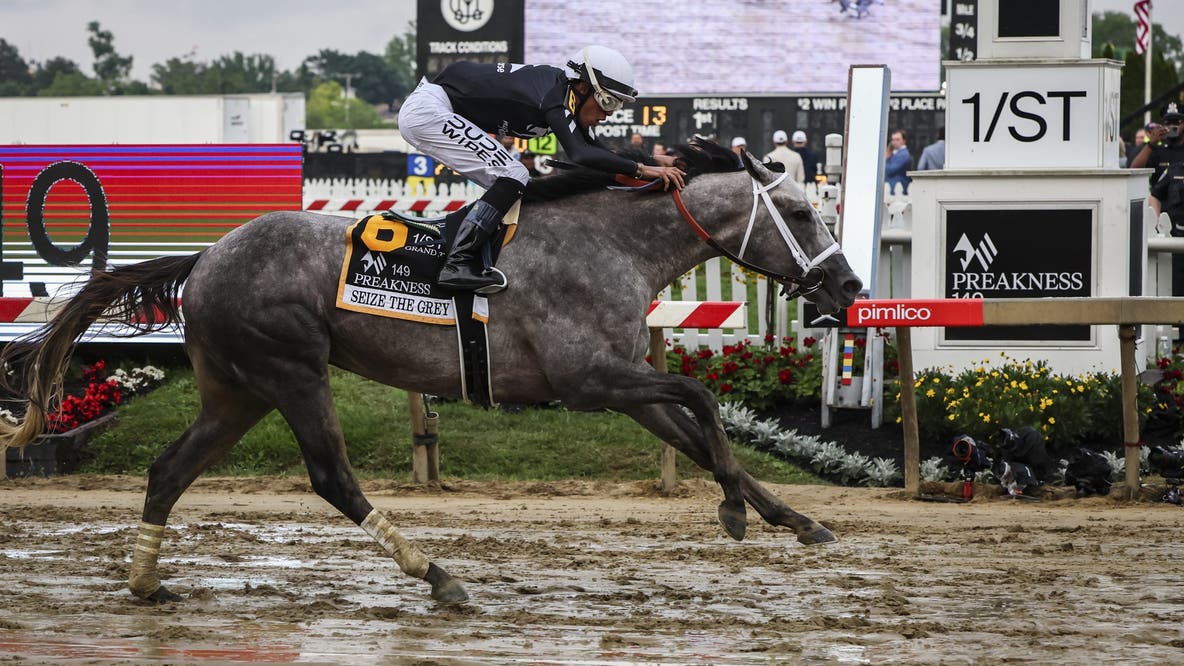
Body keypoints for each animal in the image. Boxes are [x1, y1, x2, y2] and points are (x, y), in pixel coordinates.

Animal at [0, 139, 861, 604]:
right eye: (804, 213)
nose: (849, 286)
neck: (612, 243)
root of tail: (206, 256)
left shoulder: (620, 383)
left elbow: (697, 435)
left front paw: (795, 519)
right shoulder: (590, 380)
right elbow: (702, 398)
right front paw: (735, 512)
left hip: (236, 390)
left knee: (168, 470)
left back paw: (147, 583)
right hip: (293, 372)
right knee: (331, 478)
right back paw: (436, 574)